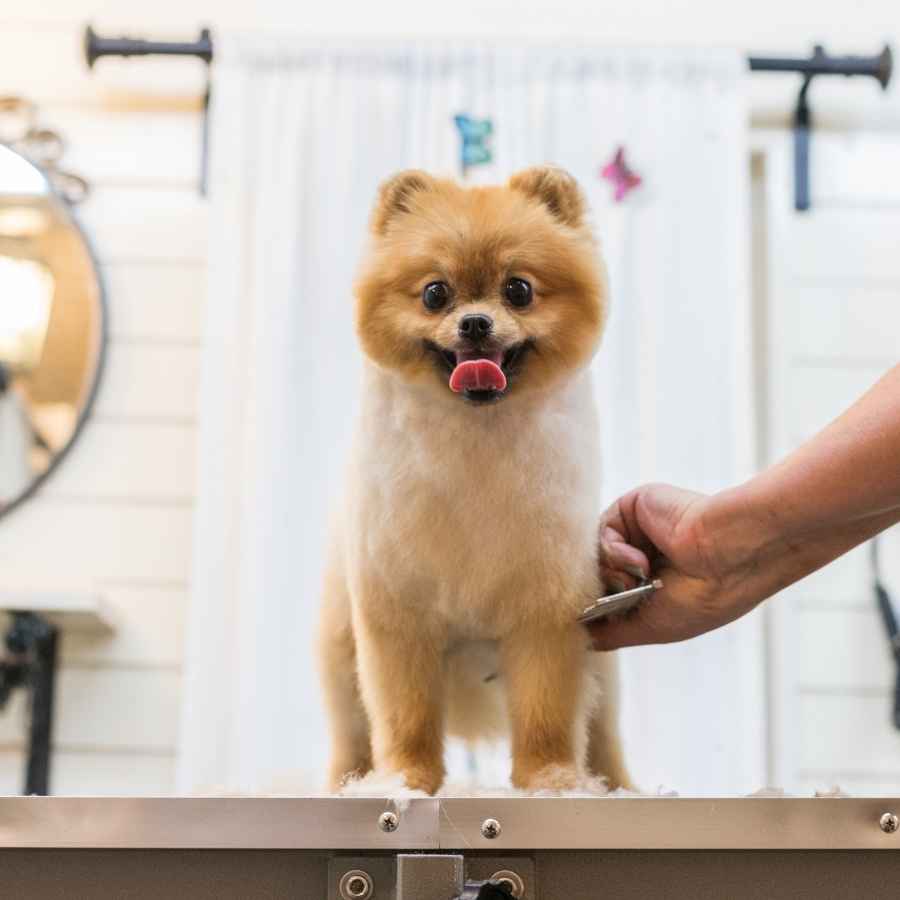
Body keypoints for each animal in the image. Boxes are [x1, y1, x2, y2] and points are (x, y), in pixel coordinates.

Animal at [320, 165, 628, 792]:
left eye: (519, 290)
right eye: (436, 292)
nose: (476, 322)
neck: (475, 440)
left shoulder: (548, 609)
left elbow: (546, 710)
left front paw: (550, 778)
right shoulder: (398, 612)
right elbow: (405, 714)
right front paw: (406, 780)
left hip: (606, 669)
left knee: (603, 732)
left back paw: (613, 786)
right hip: (340, 652)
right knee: (350, 734)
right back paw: (350, 783)